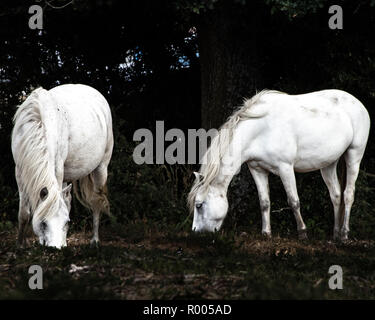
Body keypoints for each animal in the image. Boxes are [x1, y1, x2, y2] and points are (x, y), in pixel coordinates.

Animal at [12, 84, 114, 249]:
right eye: (43, 223)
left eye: (67, 222)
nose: (56, 248)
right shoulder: (20, 172)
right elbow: (24, 213)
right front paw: (20, 244)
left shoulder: (57, 169)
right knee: (68, 199)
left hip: (101, 169)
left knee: (96, 201)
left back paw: (95, 240)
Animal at [189, 90, 372, 240]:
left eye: (199, 205)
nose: (196, 232)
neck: (261, 129)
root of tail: (358, 103)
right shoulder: (257, 169)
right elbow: (264, 202)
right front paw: (266, 233)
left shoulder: (285, 168)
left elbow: (293, 200)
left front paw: (302, 233)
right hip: (328, 163)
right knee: (336, 195)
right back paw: (335, 234)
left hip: (354, 154)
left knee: (348, 194)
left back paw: (344, 234)